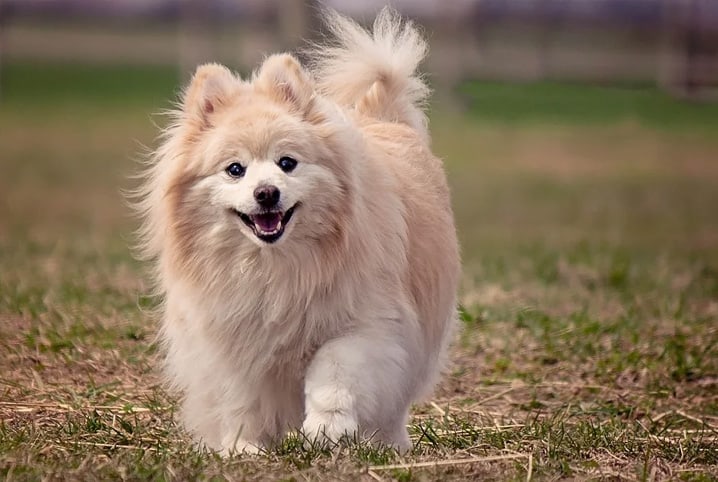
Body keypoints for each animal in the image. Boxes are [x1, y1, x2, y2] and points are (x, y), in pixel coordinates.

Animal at [135, 7, 462, 454]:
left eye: (287, 163)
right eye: (235, 169)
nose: (266, 192)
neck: (274, 267)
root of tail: (384, 117)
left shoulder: (366, 324)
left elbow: (333, 371)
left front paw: (327, 427)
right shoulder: (231, 339)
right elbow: (241, 398)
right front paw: (242, 447)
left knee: (394, 401)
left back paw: (388, 444)